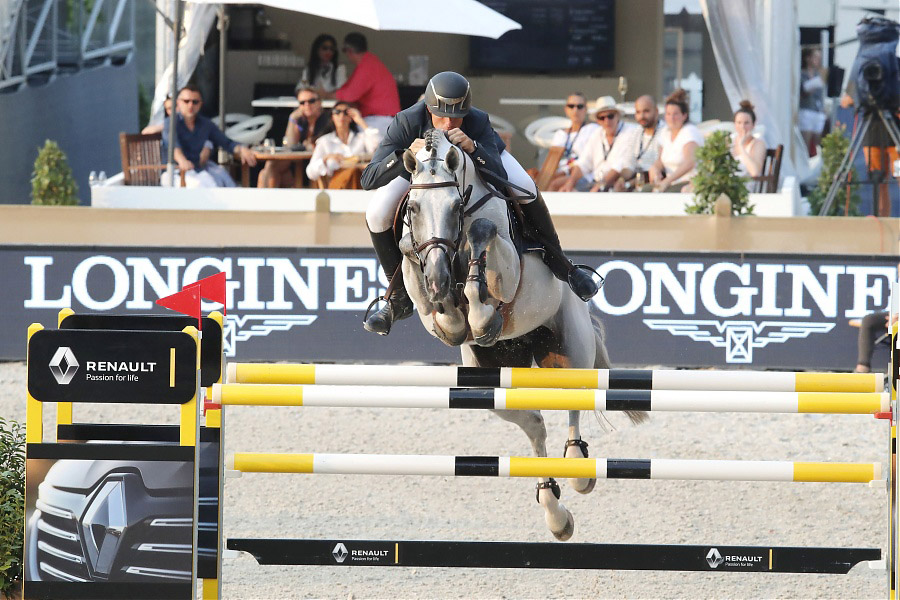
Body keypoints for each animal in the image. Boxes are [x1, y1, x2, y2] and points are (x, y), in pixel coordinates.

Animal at [393, 129, 646, 541]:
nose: (438, 278)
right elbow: (443, 311)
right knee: (535, 424)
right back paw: (555, 510)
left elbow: (484, 240)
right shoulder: (434, 313)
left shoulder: (509, 272)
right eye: (412, 208)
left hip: (567, 351)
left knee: (573, 399)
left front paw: (482, 317)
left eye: (455, 206)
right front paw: (457, 306)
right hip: (493, 383)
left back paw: (577, 466)